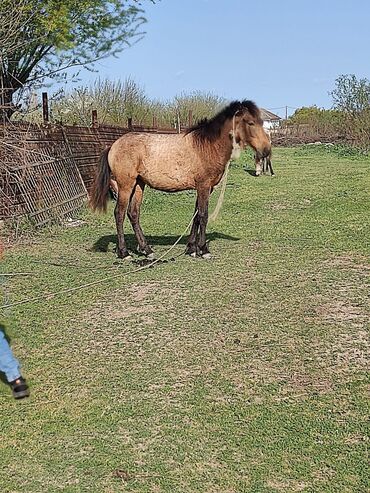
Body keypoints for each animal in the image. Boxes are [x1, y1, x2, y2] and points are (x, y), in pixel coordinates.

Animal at [88, 101, 270, 260]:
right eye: (251, 122)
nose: (266, 150)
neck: (207, 146)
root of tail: (112, 146)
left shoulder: (204, 188)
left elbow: (196, 216)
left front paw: (191, 249)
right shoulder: (204, 187)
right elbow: (203, 215)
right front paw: (203, 250)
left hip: (139, 185)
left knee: (133, 214)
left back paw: (147, 250)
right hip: (125, 185)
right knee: (119, 214)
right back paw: (124, 253)